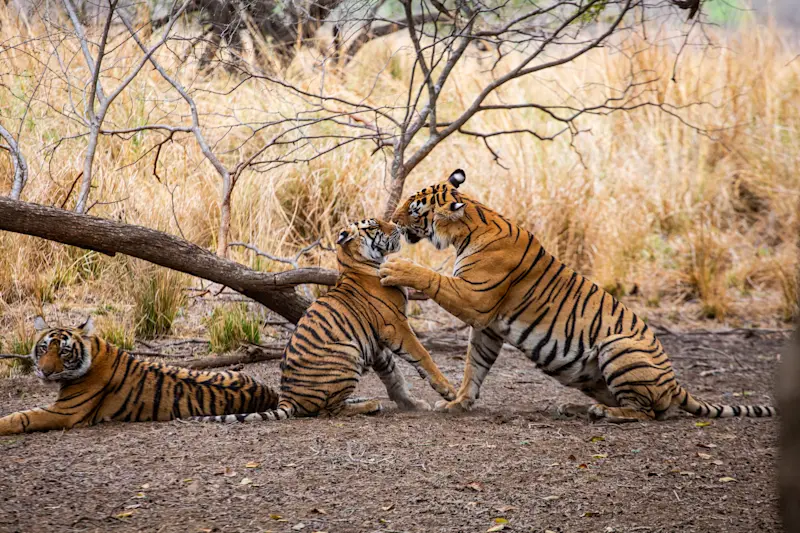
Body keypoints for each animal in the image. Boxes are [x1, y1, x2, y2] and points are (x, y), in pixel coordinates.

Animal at [0, 317, 279, 435]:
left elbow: (22, 417)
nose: (44, 371)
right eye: (44, 348)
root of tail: (270, 392)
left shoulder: (66, 412)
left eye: (64, 351)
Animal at [195, 218, 457, 423]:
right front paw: (448, 391)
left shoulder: (377, 343)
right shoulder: (396, 326)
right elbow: (423, 355)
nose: (397, 227)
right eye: (373, 225)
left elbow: (395, 377)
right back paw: (369, 405)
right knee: (330, 410)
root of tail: (287, 399)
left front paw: (413, 403)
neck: (360, 264)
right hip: (348, 352)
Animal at [378, 169, 777, 422]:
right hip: (594, 375)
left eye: (414, 208)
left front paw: (398, 268)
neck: (468, 227)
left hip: (620, 348)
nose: (393, 220)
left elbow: (434, 277)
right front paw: (459, 403)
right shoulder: (488, 327)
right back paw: (574, 409)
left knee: (650, 412)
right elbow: (474, 365)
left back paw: (604, 413)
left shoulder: (475, 298)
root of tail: (675, 384)